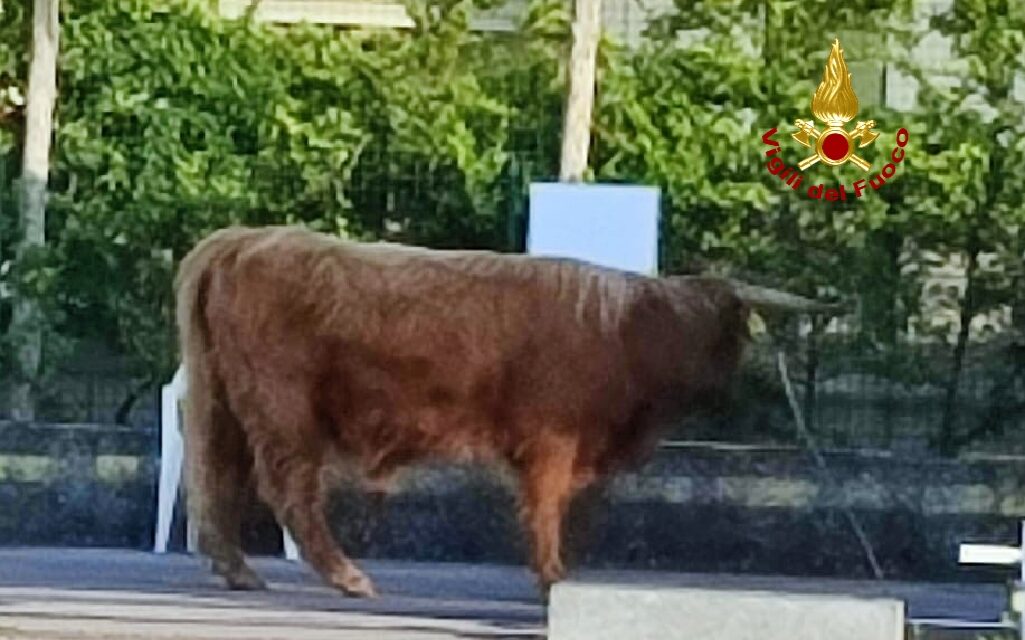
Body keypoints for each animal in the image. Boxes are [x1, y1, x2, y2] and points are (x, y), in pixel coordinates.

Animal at [174, 222, 832, 598]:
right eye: (729, 333)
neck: (629, 332)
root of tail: (244, 239)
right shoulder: (552, 439)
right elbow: (545, 505)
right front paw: (551, 577)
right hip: (283, 406)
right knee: (286, 488)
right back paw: (349, 578)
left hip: (222, 398)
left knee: (215, 474)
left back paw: (237, 570)